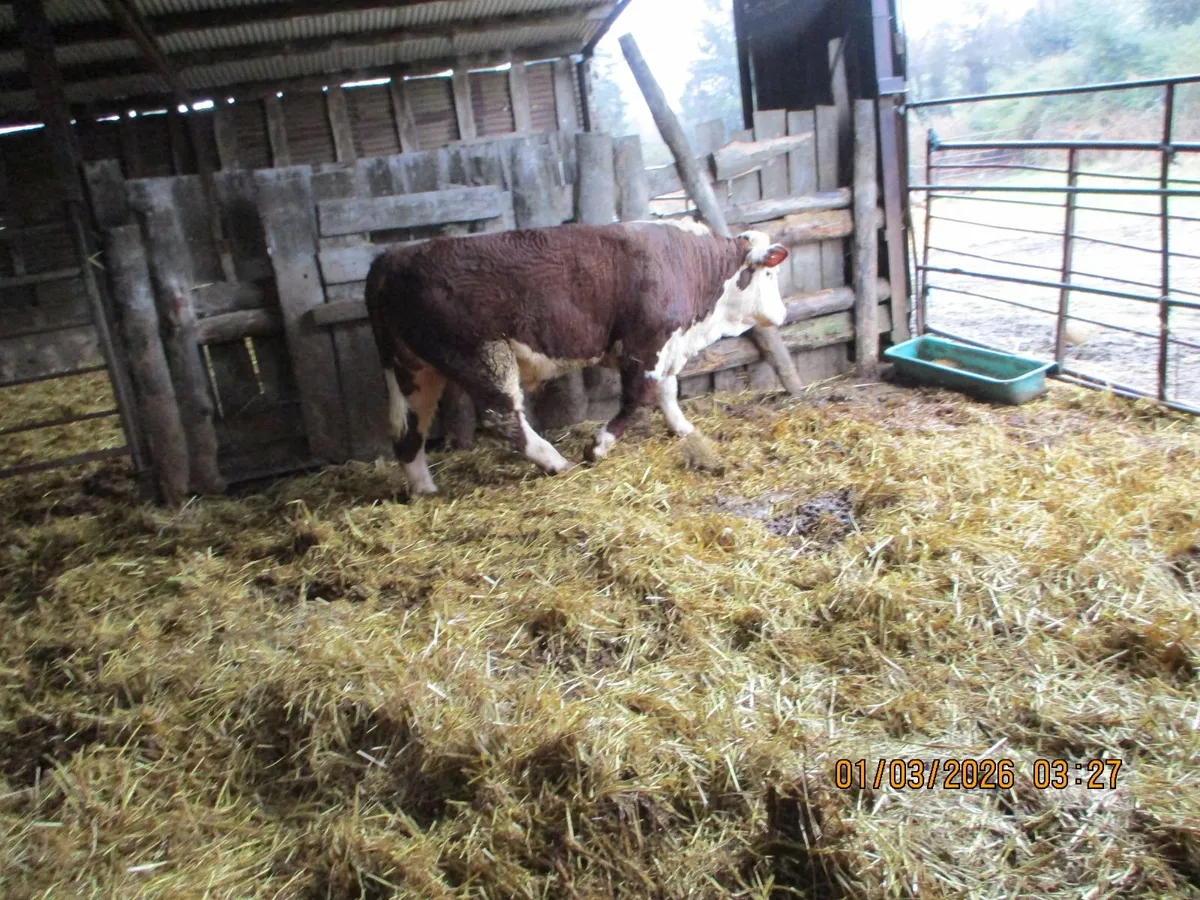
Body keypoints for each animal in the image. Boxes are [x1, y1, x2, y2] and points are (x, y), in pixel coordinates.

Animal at [364, 218, 790, 496]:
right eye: (770, 275)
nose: (783, 313)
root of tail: (393, 257)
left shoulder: (667, 346)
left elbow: (668, 391)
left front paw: (683, 428)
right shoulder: (644, 344)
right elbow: (638, 401)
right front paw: (597, 446)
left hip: (413, 368)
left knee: (408, 431)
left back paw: (424, 490)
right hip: (482, 356)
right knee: (503, 418)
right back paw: (556, 462)